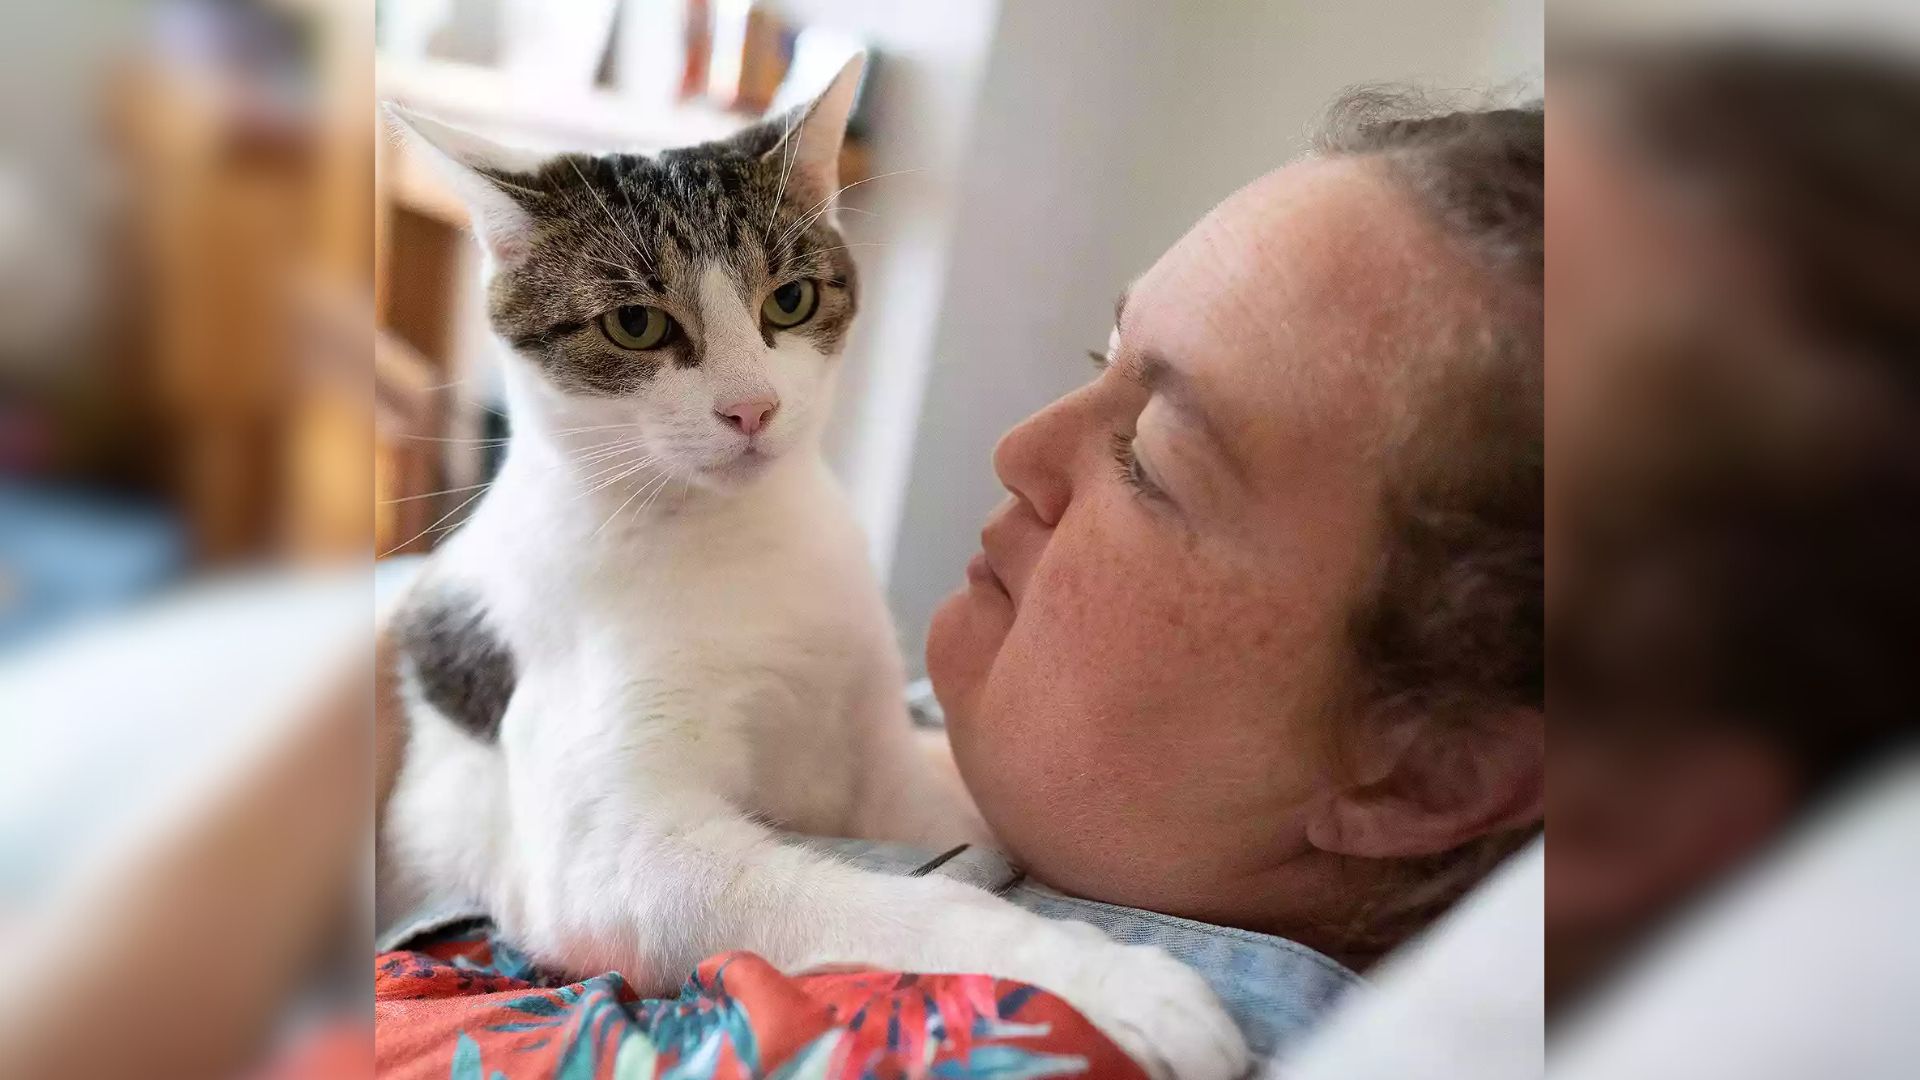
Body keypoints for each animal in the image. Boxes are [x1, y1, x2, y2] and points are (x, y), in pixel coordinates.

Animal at [378, 58, 1244, 1076]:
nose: (750, 408)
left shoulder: (872, 747)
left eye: (788, 301)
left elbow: (946, 817)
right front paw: (1115, 980)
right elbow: (886, 899)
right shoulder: (600, 852)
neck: (741, 541)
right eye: (635, 323)